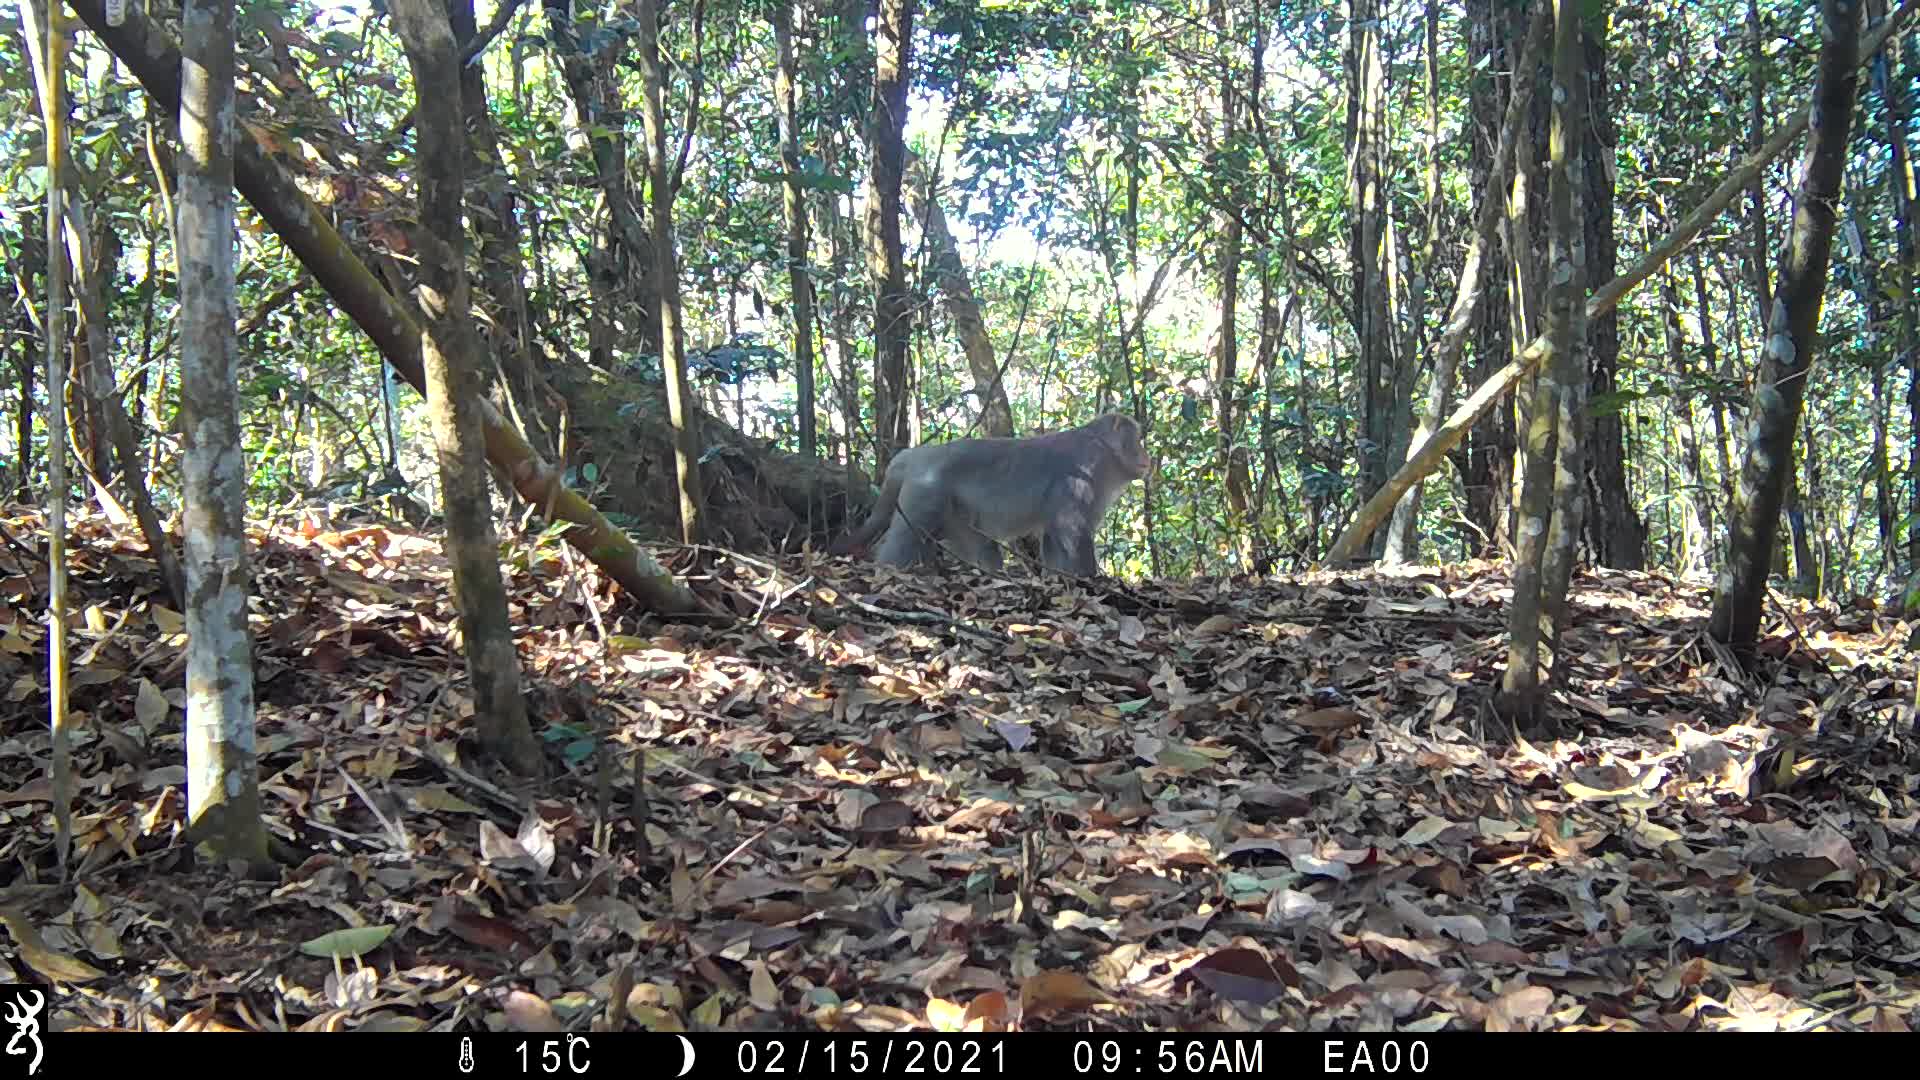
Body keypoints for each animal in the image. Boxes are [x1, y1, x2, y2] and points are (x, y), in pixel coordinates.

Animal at [833, 411, 1144, 576]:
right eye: (1137, 439)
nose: (1147, 456)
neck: (1105, 449)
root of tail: (911, 456)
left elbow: (1054, 535)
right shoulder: (1087, 467)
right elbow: (1071, 528)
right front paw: (1092, 579)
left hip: (954, 514)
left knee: (982, 545)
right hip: (926, 493)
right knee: (906, 537)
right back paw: (887, 567)